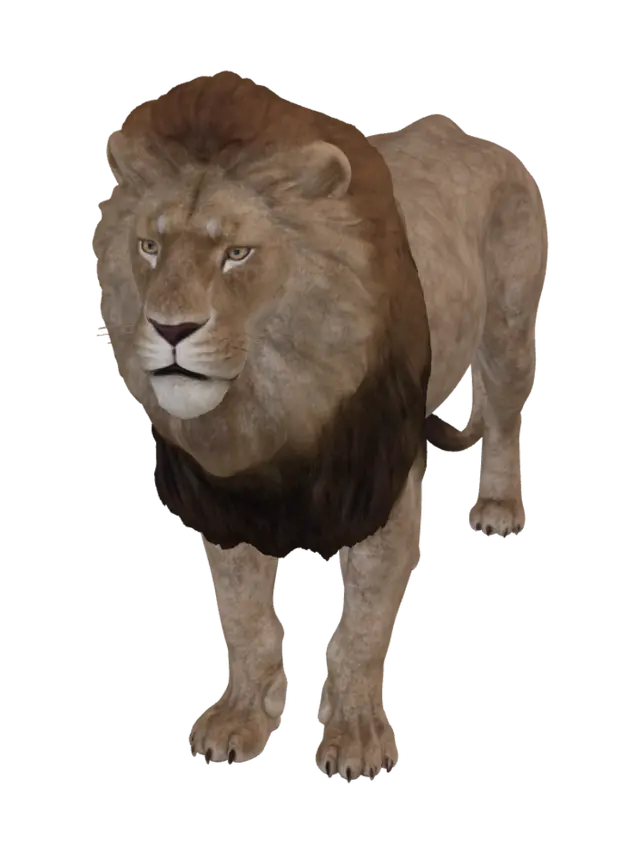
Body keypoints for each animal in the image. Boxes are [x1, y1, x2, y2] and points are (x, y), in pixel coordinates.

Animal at [93, 71, 548, 780]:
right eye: (149, 246)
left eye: (237, 253)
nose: (170, 329)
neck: (272, 407)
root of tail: (474, 136)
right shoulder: (223, 499)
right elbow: (247, 620)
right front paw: (240, 720)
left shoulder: (382, 494)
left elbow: (361, 627)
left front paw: (355, 738)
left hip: (506, 327)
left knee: (503, 418)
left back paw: (499, 507)